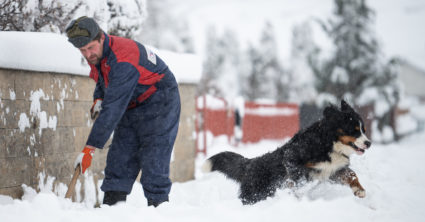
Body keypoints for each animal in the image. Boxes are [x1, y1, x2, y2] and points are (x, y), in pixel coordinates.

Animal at [201, 100, 368, 205]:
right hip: (255, 194)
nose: (369, 143)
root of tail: (251, 163)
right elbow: (299, 179)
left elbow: (351, 174)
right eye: (354, 130)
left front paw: (359, 190)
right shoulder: (292, 158)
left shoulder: (333, 170)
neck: (329, 143)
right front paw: (299, 190)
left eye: (363, 130)